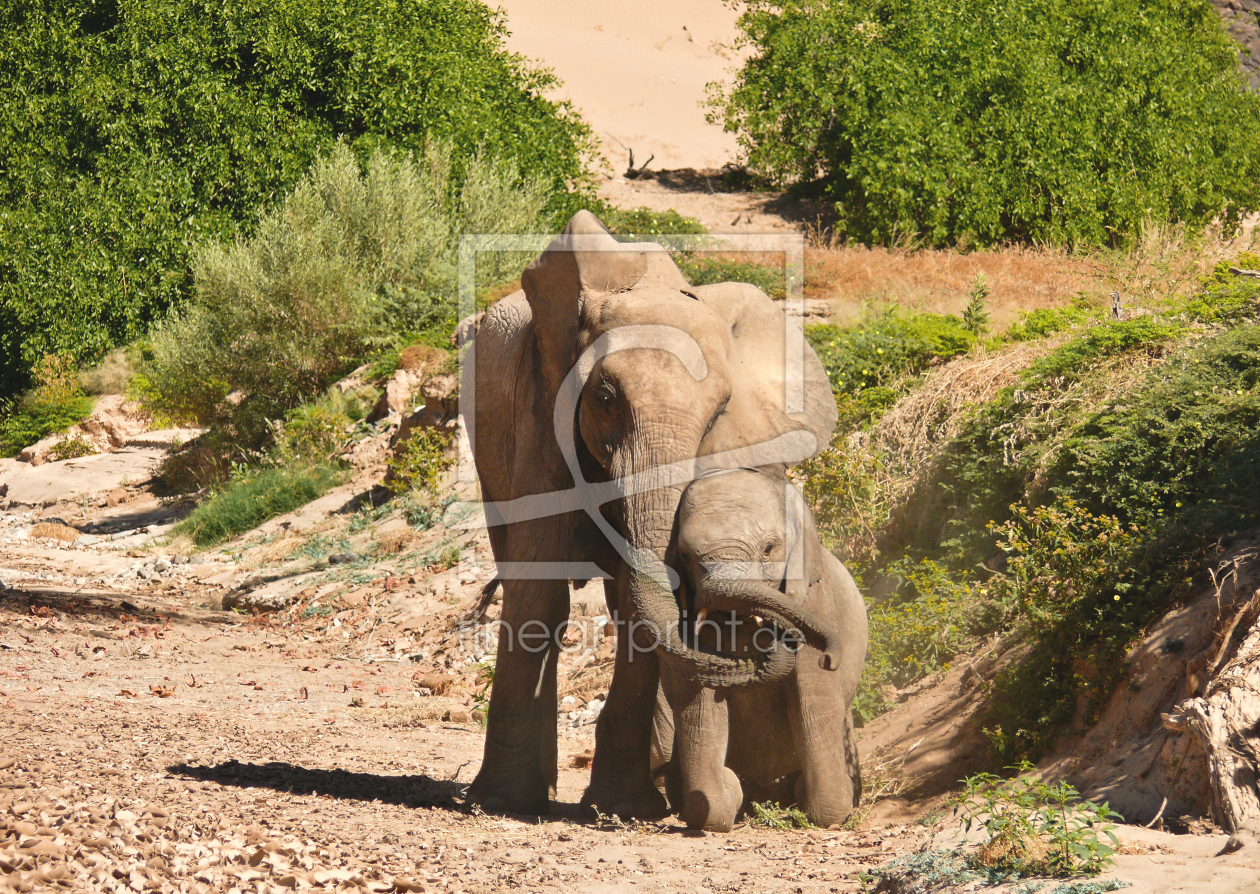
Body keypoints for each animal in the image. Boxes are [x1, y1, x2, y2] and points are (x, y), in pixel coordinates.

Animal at [463, 211, 836, 820]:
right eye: (605, 397)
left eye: (720, 408)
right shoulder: (539, 416)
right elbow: (540, 594)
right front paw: (502, 802)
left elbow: (639, 606)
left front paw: (625, 807)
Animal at [660, 468, 866, 831]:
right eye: (685, 557)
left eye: (769, 549)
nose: (831, 657)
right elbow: (698, 703)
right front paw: (726, 794)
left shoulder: (816, 601)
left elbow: (814, 698)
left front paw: (823, 808)